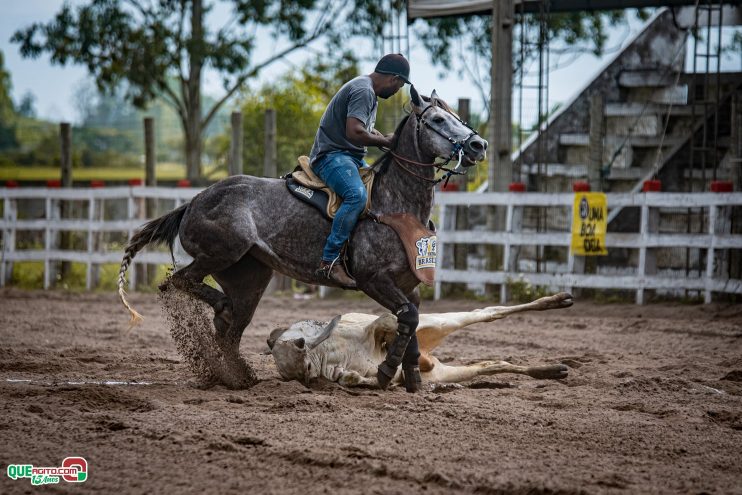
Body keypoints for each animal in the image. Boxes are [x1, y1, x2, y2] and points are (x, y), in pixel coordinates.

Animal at [117, 88, 488, 392]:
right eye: (437, 119)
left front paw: (410, 378)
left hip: (249, 279)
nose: (478, 145)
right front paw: (386, 372)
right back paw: (223, 325)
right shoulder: (374, 280)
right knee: (179, 281)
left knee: (229, 329)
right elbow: (408, 319)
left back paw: (233, 373)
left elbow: (410, 321)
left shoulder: (408, 286)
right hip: (224, 250)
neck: (393, 204)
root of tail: (192, 202)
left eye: (458, 117)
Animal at [270, 292, 580, 390]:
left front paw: (393, 355)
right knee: (494, 363)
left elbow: (386, 321)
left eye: (304, 364)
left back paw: (559, 300)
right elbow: (354, 378)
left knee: (489, 312)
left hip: (440, 321)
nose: (310, 379)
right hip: (448, 370)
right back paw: (552, 370)